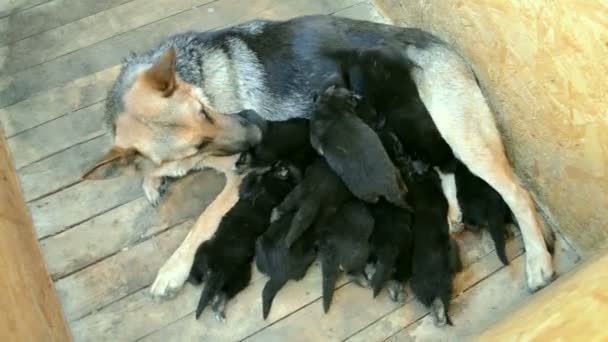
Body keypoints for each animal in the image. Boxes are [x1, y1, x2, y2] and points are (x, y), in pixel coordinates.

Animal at [82, 15, 556, 300]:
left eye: (204, 110)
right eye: (198, 137)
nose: (255, 132)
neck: (195, 77)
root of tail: (448, 47)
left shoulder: (235, 179)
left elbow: (202, 220)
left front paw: (172, 269)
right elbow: (145, 165)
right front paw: (151, 177)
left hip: (465, 138)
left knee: (516, 193)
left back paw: (539, 262)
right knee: (445, 171)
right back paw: (454, 212)